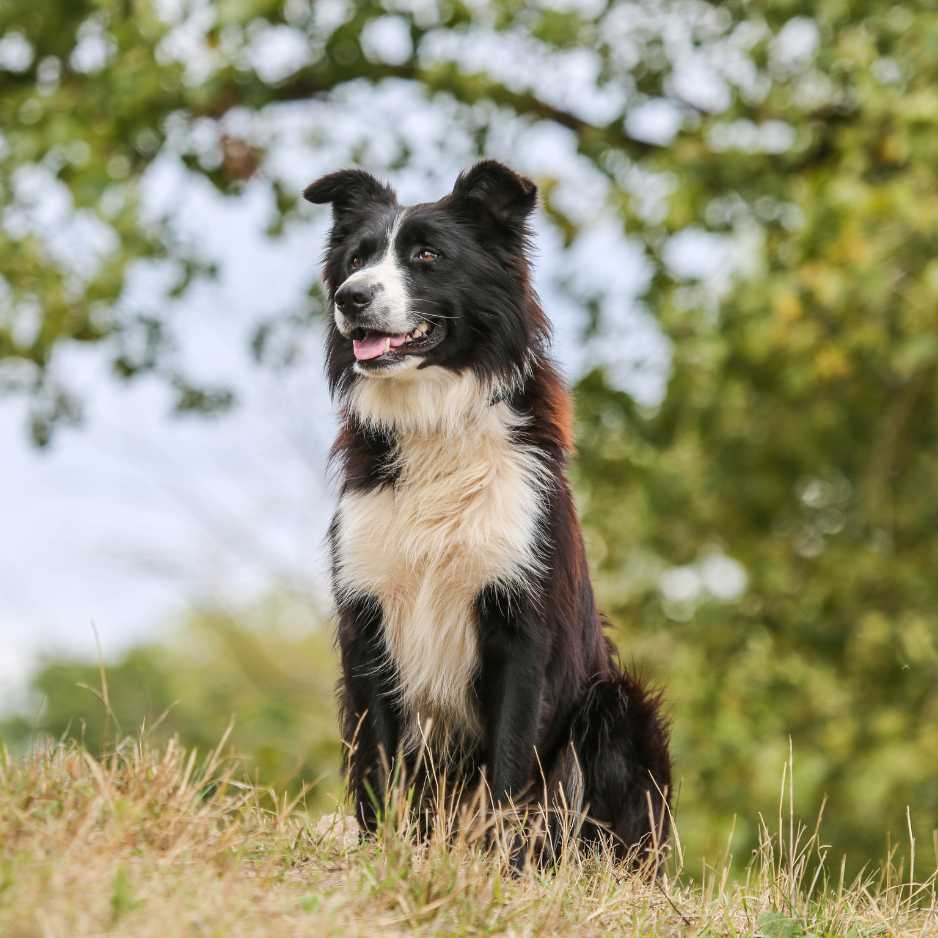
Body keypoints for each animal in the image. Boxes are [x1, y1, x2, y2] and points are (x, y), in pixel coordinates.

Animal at [308, 161, 672, 864]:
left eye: (427, 256)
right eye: (357, 259)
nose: (350, 298)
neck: (434, 421)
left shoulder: (521, 625)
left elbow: (509, 763)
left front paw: (499, 868)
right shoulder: (367, 618)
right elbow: (377, 764)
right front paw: (381, 853)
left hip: (617, 705)